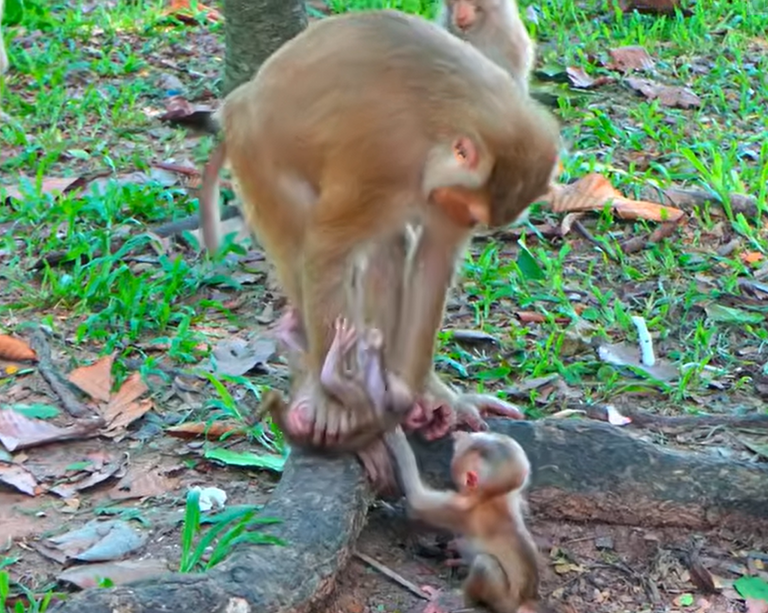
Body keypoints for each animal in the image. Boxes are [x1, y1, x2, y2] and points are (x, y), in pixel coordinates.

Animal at [197, 10, 561, 481]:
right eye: (463, 204)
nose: (462, 221)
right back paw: (325, 385)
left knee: (389, 249)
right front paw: (335, 406)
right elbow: (326, 249)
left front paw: (430, 397)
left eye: (473, 216)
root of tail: (240, 100)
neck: (445, 125)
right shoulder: (384, 159)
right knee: (304, 241)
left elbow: (431, 262)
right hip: (258, 158)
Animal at [385, 427, 552, 613]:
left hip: (505, 600)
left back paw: (458, 599)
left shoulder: (462, 509)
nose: (459, 434)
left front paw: (394, 436)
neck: (491, 496)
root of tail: (525, 600)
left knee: (484, 564)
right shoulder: (512, 496)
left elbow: (416, 500)